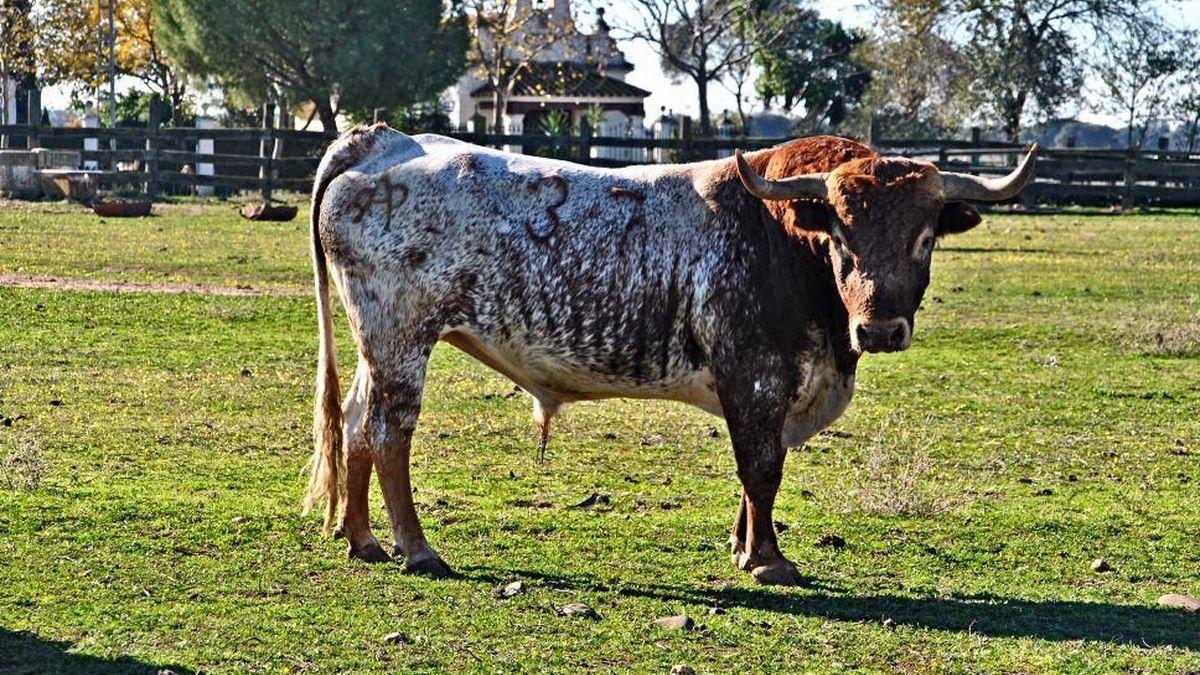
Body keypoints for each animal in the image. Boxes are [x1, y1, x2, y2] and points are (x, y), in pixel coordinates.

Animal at [304, 124, 1036, 583]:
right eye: (840, 234)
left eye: (924, 236)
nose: (881, 329)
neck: (781, 240)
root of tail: (382, 141)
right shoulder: (756, 375)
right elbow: (762, 468)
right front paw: (769, 560)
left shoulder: (770, 387)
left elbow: (757, 473)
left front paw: (743, 547)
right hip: (402, 337)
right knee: (389, 431)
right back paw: (417, 547)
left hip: (377, 343)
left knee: (355, 425)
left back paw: (362, 538)